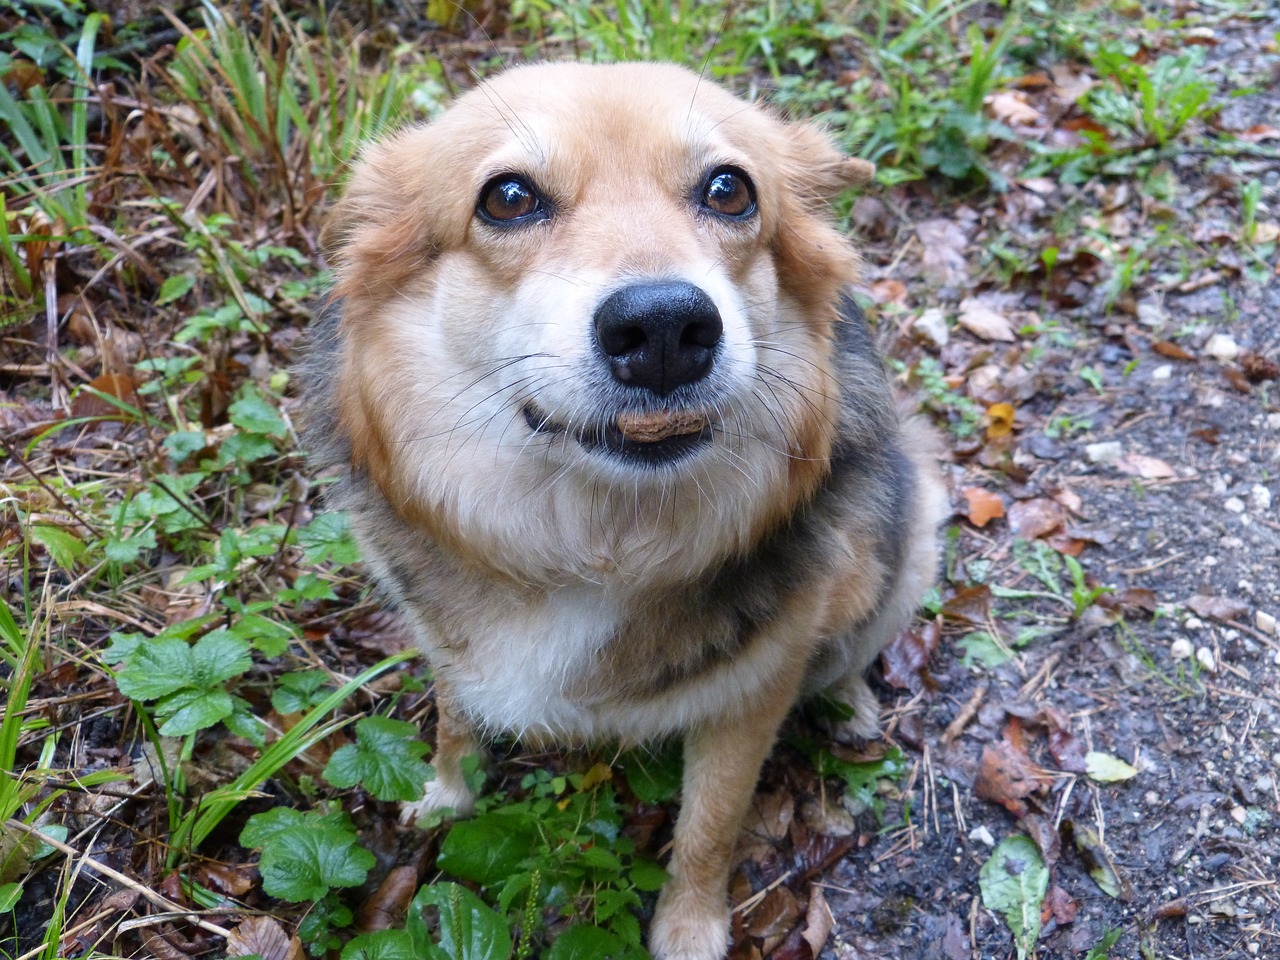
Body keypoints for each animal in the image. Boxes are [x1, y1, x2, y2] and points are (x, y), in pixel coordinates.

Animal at [296, 62, 942, 960]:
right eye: (507, 198)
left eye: (729, 189)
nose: (665, 326)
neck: (595, 543)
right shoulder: (444, 637)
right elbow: (455, 724)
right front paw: (447, 797)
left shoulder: (753, 695)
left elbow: (711, 824)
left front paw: (689, 928)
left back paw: (851, 701)